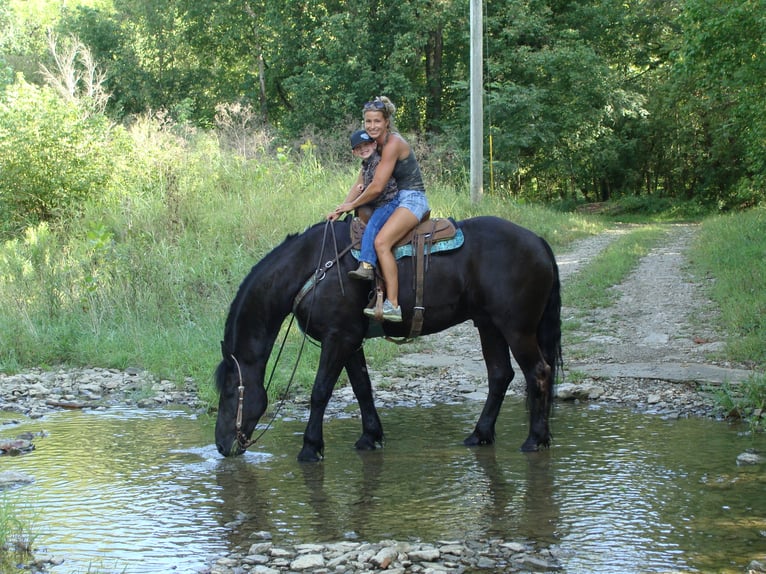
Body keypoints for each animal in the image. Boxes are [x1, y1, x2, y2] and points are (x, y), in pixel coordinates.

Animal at [216, 216, 564, 464]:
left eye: (231, 390)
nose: (221, 445)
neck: (313, 268)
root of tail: (538, 242)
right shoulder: (350, 340)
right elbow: (362, 388)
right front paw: (370, 437)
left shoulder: (338, 339)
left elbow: (320, 392)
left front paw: (310, 448)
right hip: (488, 325)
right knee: (499, 375)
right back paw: (479, 435)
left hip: (516, 328)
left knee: (538, 373)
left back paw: (535, 440)